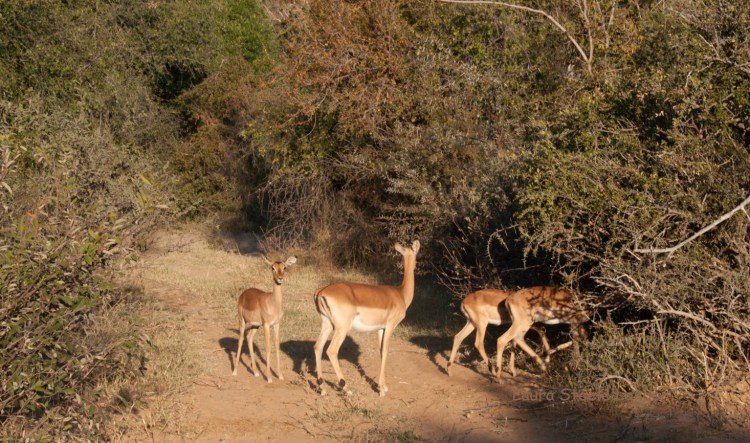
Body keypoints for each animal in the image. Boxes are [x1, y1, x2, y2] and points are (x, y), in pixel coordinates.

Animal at [313, 240, 420, 397]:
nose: (416, 265)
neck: (400, 294)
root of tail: (321, 291)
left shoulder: (381, 329)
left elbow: (381, 352)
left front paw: (383, 386)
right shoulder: (390, 326)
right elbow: (386, 351)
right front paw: (381, 390)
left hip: (327, 324)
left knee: (318, 347)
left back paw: (322, 389)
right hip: (341, 329)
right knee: (331, 351)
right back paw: (346, 388)